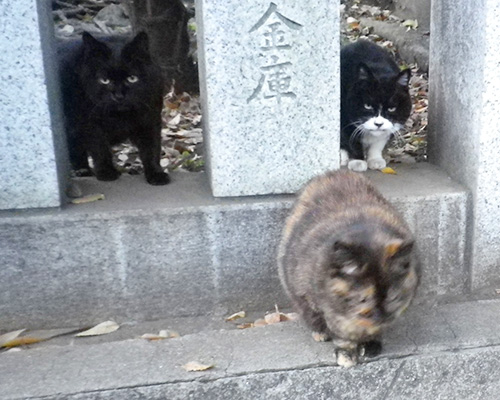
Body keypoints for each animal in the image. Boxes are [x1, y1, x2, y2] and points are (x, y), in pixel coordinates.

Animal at [58, 32, 170, 185]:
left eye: (132, 78)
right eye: (105, 80)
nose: (118, 95)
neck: (119, 115)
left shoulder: (150, 121)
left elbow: (152, 149)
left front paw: (156, 174)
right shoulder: (90, 125)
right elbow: (100, 149)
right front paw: (106, 172)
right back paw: (83, 171)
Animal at [278, 170, 418, 368]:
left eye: (394, 297)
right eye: (363, 299)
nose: (381, 316)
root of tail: (336, 172)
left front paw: (371, 344)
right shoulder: (335, 312)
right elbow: (343, 334)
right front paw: (346, 354)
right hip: (298, 291)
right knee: (309, 313)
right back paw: (320, 332)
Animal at [340, 39, 414, 171]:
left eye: (391, 108)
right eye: (368, 106)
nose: (378, 124)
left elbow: (379, 141)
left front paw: (375, 159)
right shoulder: (345, 117)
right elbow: (351, 140)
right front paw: (358, 161)